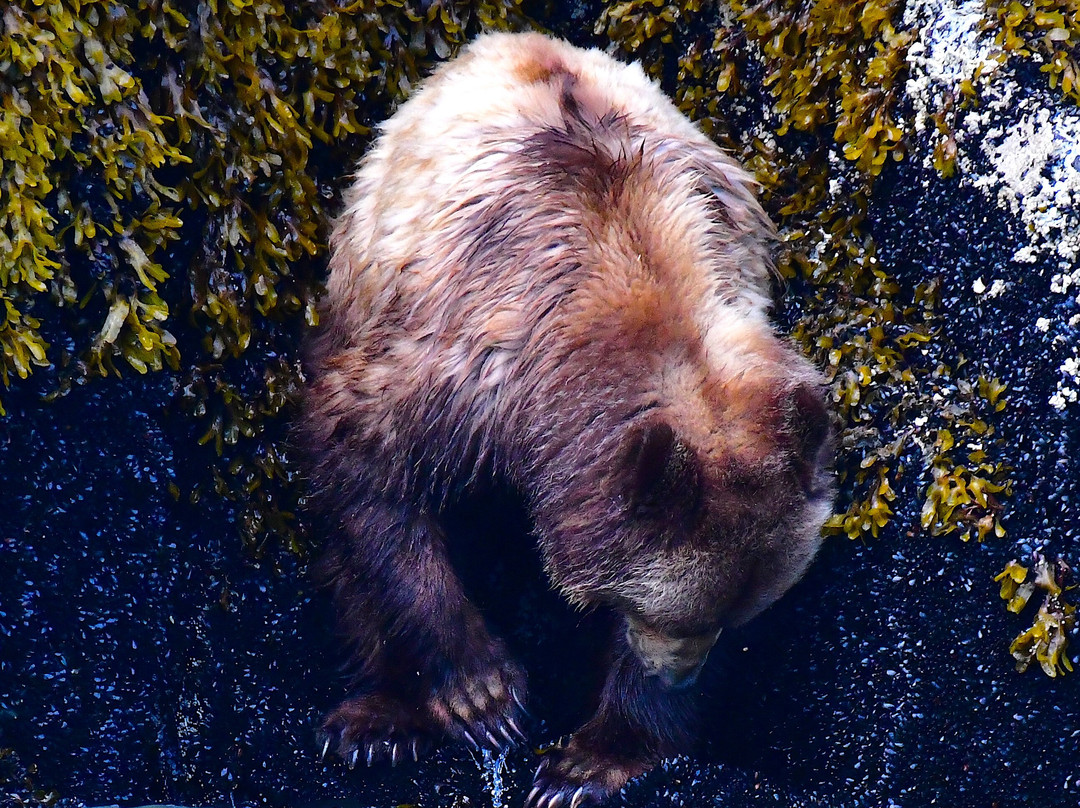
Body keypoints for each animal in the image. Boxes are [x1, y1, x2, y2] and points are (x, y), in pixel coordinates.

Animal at [298, 31, 834, 808]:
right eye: (678, 615)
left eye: (736, 618)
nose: (680, 673)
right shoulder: (463, 371)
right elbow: (368, 475)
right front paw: (479, 695)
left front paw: (588, 762)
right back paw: (377, 721)